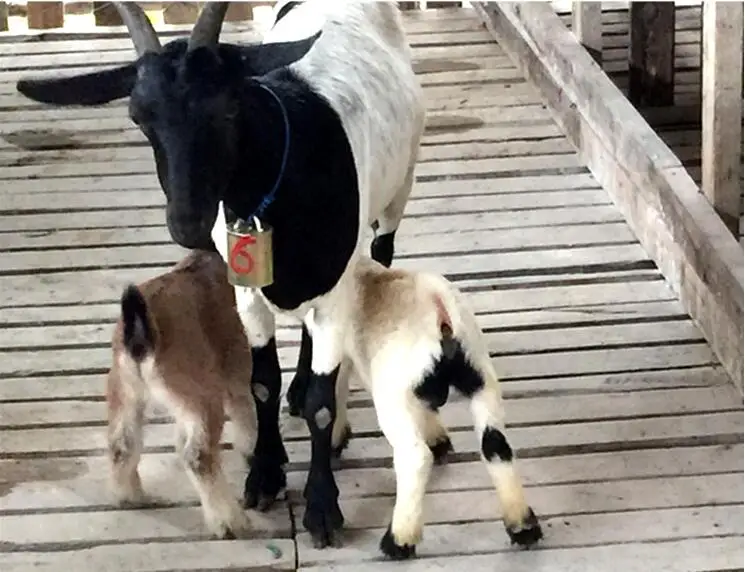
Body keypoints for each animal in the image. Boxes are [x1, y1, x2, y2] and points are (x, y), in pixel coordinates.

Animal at [106, 250, 257, 540]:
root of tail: (142, 332)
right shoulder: (235, 369)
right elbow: (246, 415)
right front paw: (252, 451)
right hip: (205, 395)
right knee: (199, 456)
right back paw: (229, 522)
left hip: (125, 390)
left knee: (123, 444)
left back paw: (129, 496)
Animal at [327, 256, 544, 560]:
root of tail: (440, 313)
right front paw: (439, 439)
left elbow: (337, 388)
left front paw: (335, 439)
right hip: (481, 378)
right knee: (496, 445)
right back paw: (522, 525)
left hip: (394, 394)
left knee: (414, 457)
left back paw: (399, 540)